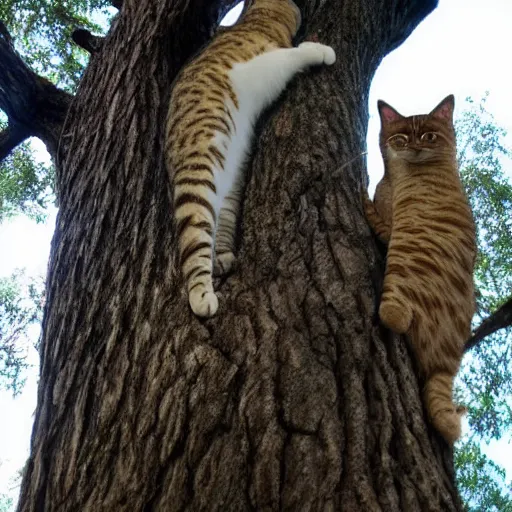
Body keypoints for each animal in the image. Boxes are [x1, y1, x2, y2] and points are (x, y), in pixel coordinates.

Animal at [166, 0, 338, 318]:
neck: (259, 17)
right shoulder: (265, 64)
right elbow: (295, 53)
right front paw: (318, 50)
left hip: (229, 184)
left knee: (219, 223)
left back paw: (221, 257)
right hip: (198, 175)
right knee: (195, 239)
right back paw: (200, 294)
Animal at [364, 96, 476, 444]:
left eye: (428, 136)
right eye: (401, 138)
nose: (414, 146)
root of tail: (445, 365)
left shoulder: (390, 225)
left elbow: (378, 219)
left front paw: (365, 198)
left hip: (401, 269)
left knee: (395, 318)